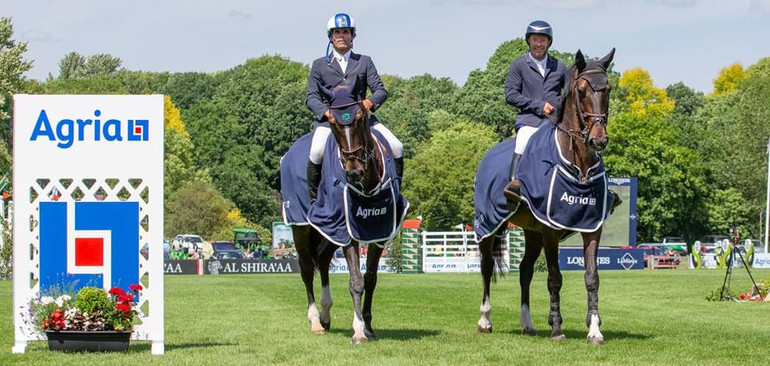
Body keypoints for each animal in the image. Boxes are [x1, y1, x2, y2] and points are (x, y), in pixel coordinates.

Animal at [280, 81, 402, 344]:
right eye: (332, 121)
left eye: (359, 118)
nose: (353, 170)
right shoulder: (348, 232)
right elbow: (355, 280)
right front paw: (358, 331)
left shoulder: (379, 232)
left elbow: (371, 279)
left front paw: (368, 326)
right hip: (302, 227)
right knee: (307, 269)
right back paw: (316, 321)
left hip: (328, 230)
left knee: (324, 261)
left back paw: (326, 315)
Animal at [474, 49, 616, 346]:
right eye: (581, 90)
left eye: (607, 88)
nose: (598, 140)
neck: (579, 166)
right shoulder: (551, 230)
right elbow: (554, 278)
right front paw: (557, 328)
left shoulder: (591, 228)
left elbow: (592, 278)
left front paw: (594, 329)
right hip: (489, 225)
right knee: (486, 267)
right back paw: (485, 320)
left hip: (532, 231)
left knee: (525, 270)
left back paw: (527, 324)